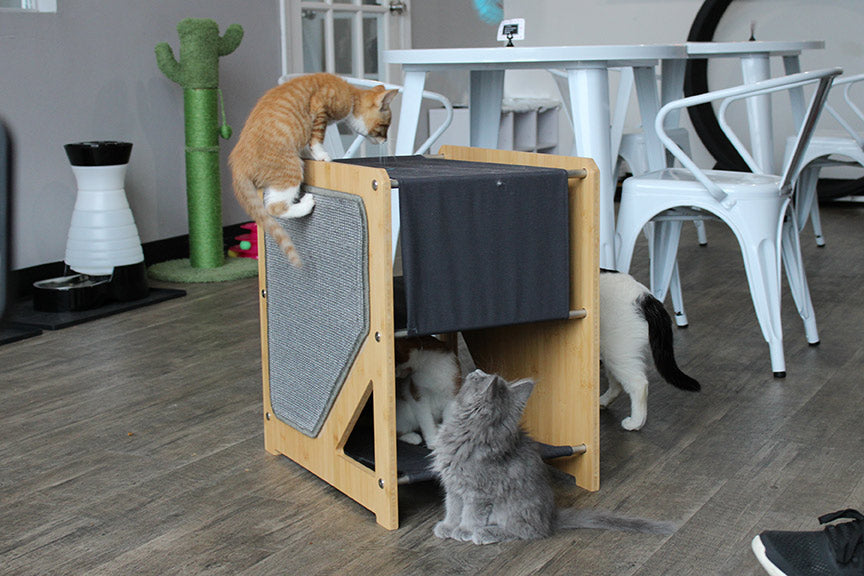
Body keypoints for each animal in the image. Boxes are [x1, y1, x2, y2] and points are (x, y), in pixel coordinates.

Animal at [228, 72, 400, 268]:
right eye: (385, 126)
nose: (385, 140)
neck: (350, 94)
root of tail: (238, 167)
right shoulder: (320, 105)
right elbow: (317, 138)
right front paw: (322, 155)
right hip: (290, 169)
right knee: (275, 208)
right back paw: (305, 204)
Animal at [430, 368, 676, 544]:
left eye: (479, 377)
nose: (476, 369)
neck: (467, 436)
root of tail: (550, 518)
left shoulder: (478, 493)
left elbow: (470, 514)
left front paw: (463, 530)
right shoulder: (453, 487)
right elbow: (452, 508)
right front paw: (448, 526)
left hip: (513, 510)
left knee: (527, 531)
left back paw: (487, 533)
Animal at [600, 268, 704, 428]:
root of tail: (646, 296)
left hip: (618, 352)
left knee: (638, 384)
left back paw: (635, 423)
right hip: (612, 353)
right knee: (617, 385)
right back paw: (603, 402)